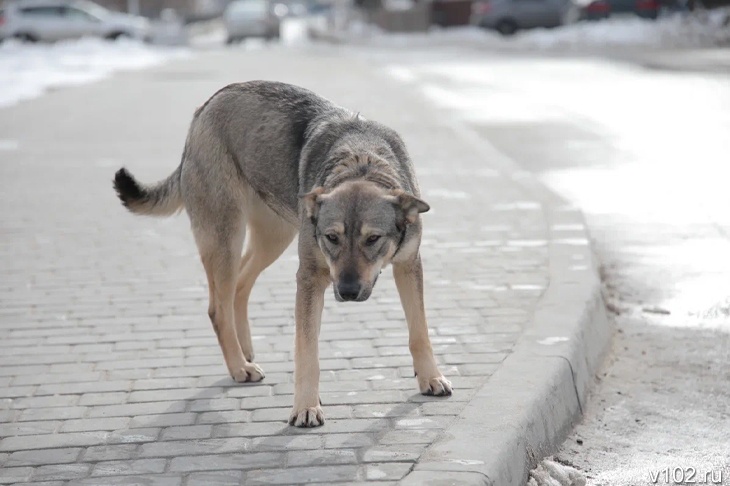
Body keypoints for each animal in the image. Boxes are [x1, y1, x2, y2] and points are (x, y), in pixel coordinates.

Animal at [112, 81, 450, 428]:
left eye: (373, 239)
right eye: (332, 238)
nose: (347, 292)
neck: (362, 160)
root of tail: (208, 103)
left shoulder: (408, 265)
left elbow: (419, 331)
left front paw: (430, 377)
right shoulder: (310, 277)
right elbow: (307, 351)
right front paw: (305, 407)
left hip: (273, 239)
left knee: (239, 287)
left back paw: (244, 349)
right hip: (227, 238)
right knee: (218, 307)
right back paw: (239, 366)